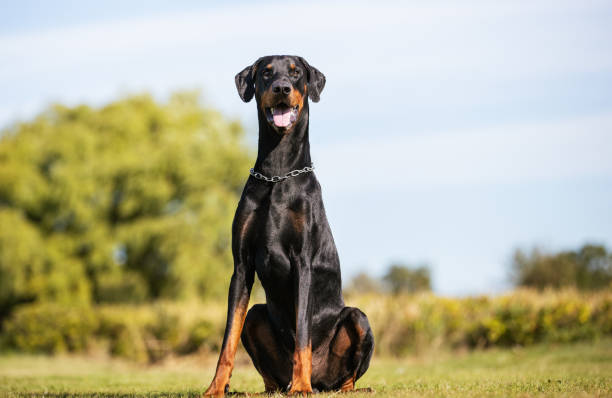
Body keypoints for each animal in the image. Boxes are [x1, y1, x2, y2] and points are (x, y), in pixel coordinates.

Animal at [204, 55, 372, 394]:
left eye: (296, 73)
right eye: (267, 73)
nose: (281, 88)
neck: (277, 174)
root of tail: (324, 382)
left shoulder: (303, 263)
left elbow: (303, 334)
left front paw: (301, 386)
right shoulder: (241, 266)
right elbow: (228, 338)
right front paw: (215, 387)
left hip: (359, 319)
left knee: (347, 376)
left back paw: (323, 385)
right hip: (256, 316)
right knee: (265, 364)